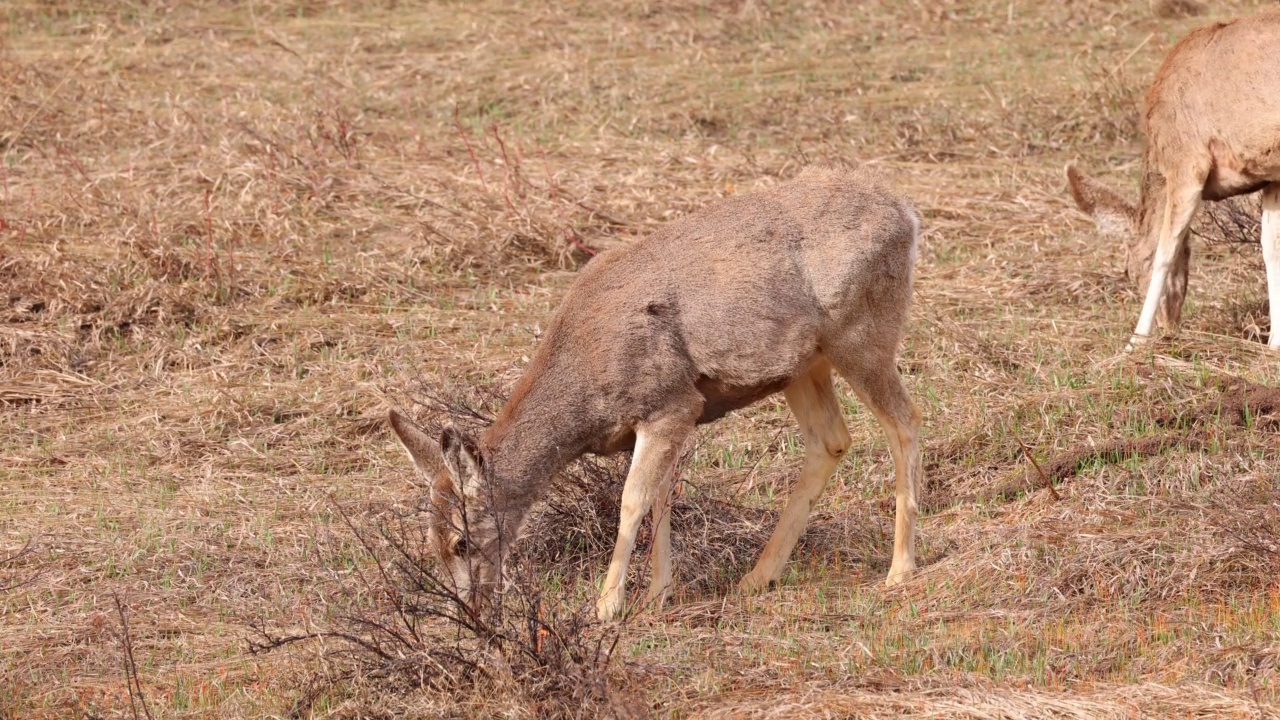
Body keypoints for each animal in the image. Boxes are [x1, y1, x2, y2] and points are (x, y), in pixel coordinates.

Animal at [384, 163, 926, 617]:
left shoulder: (669, 401)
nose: (471, 609)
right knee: (831, 441)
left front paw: (607, 606)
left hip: (862, 333)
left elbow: (633, 500)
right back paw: (758, 576)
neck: (583, 394)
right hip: (803, 365)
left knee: (906, 420)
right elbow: (663, 496)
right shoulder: (664, 418)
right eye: (430, 542)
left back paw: (899, 570)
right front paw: (658, 594)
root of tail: (906, 213)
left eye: (460, 542)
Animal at [1064, 7, 1280, 348]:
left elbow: (1167, 249)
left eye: (1131, 268)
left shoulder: (1187, 162)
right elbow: (1271, 247)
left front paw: (1135, 340)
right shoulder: (1270, 175)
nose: (1169, 326)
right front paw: (1274, 344)